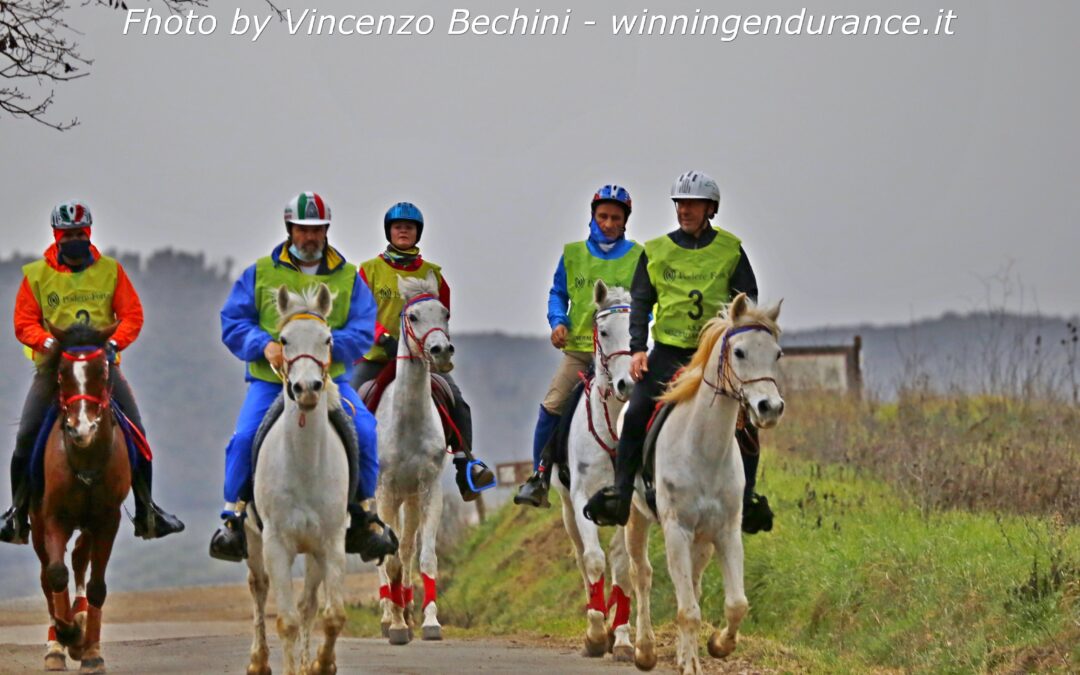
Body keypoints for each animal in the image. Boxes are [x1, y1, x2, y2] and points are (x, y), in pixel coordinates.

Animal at [31, 321, 129, 673]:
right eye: (61, 372)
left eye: (102, 370)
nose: (81, 428)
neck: (85, 459)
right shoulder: (52, 517)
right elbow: (55, 574)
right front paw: (68, 635)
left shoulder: (107, 521)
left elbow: (97, 585)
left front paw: (90, 651)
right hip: (38, 525)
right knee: (48, 575)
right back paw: (57, 646)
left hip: (87, 524)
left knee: (79, 559)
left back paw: (81, 621)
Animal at [244, 285, 345, 673]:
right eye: (283, 340)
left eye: (327, 339)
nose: (307, 388)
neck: (304, 466)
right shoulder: (276, 543)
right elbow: (285, 621)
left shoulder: (331, 542)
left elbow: (330, 616)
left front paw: (320, 664)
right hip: (252, 539)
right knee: (258, 588)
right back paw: (258, 662)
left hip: (314, 552)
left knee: (309, 606)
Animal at [626, 293, 786, 673]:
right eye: (739, 352)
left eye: (777, 353)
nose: (769, 408)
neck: (704, 448)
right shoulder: (676, 529)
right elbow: (688, 610)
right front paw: (692, 663)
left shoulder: (726, 530)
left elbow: (736, 603)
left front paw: (717, 646)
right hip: (636, 519)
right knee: (641, 574)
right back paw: (645, 649)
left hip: (702, 539)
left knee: (694, 585)